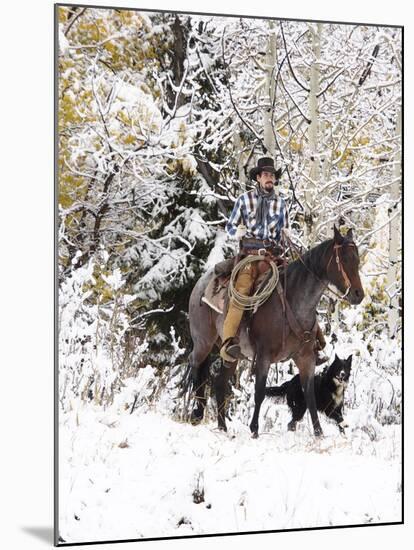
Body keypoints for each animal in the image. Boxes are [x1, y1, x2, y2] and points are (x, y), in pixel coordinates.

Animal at [186, 225, 364, 440]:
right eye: (344, 259)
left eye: (357, 260)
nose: (359, 295)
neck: (294, 303)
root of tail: (201, 283)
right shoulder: (264, 356)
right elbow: (260, 392)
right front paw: (254, 429)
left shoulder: (306, 358)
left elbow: (310, 395)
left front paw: (319, 433)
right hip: (203, 341)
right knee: (195, 365)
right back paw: (197, 412)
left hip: (231, 354)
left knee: (220, 383)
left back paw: (222, 428)